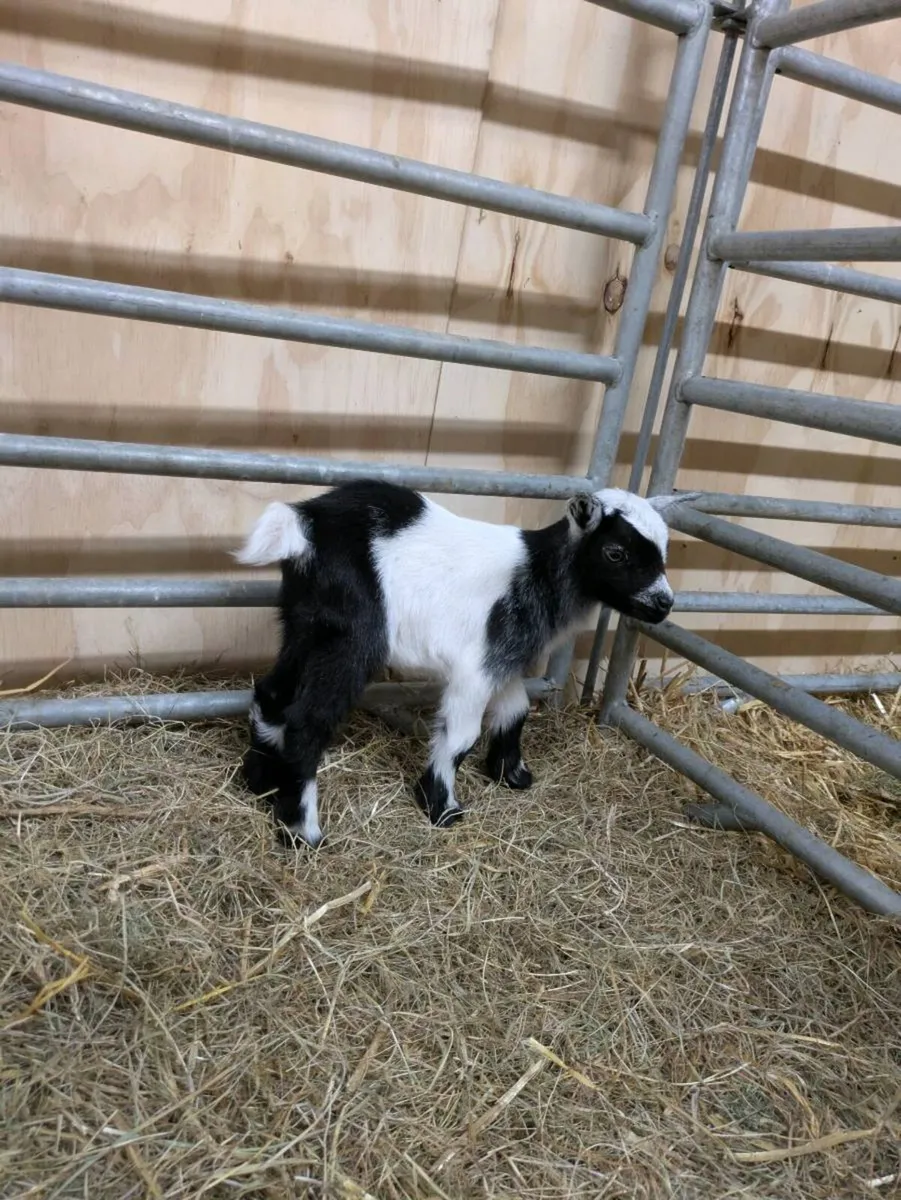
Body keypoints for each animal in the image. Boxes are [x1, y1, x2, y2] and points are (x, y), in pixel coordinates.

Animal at [235, 480, 693, 847]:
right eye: (616, 552)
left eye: (664, 550)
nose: (663, 604)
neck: (538, 574)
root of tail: (305, 524)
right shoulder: (476, 668)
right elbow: (460, 736)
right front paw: (441, 806)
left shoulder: (503, 659)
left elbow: (515, 711)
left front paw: (512, 774)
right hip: (352, 636)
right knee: (307, 721)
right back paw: (303, 831)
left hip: (305, 624)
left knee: (272, 695)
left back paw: (260, 782)